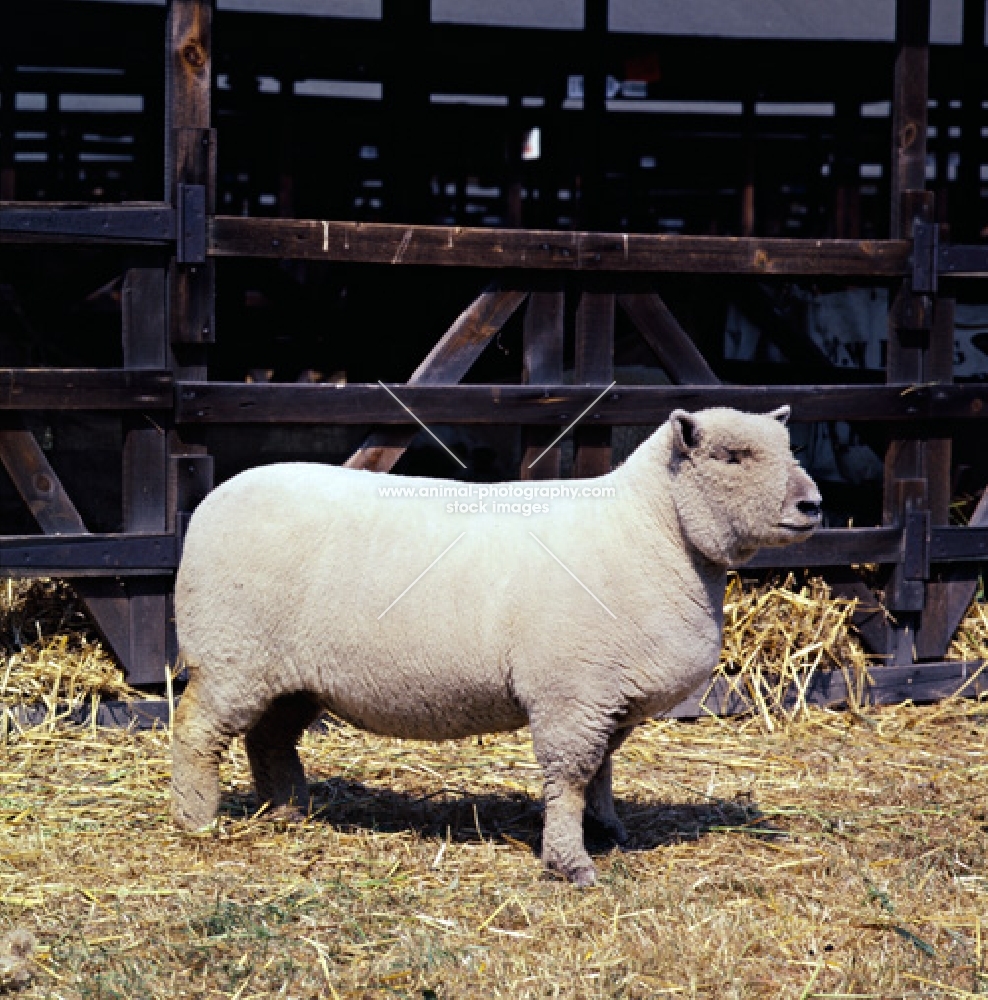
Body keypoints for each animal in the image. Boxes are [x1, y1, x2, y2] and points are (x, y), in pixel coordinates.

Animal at [174, 404, 824, 884]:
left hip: (290, 674)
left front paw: (607, 831)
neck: (649, 530)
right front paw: (570, 863)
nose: (814, 504)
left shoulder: (606, 697)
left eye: (790, 450)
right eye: (732, 456)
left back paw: (289, 811)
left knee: (268, 739)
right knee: (196, 733)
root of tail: (210, 502)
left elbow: (602, 772)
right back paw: (196, 820)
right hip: (231, 654)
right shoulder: (573, 693)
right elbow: (571, 777)